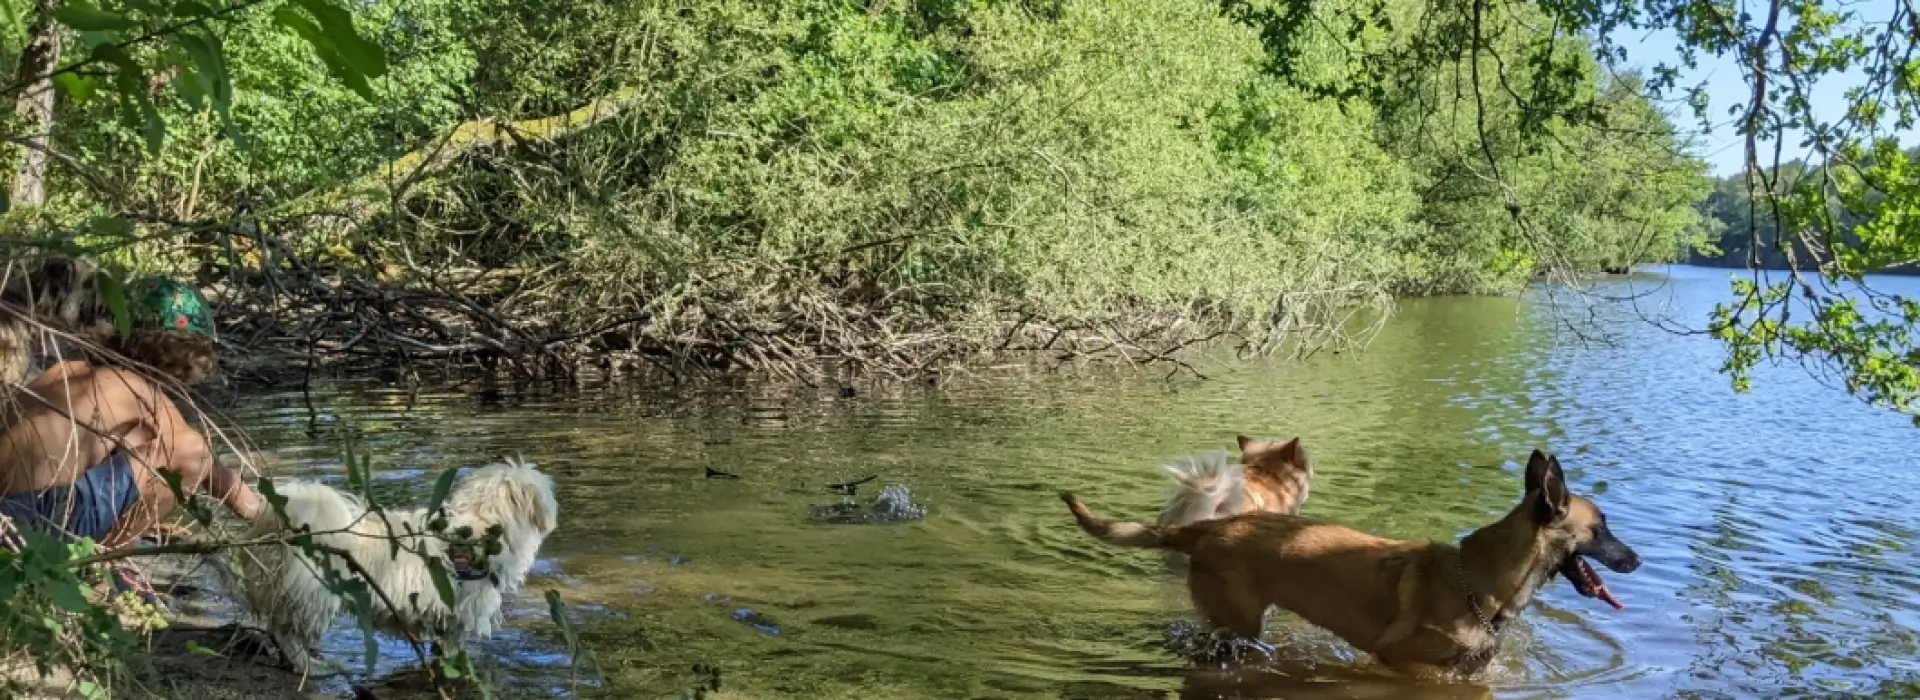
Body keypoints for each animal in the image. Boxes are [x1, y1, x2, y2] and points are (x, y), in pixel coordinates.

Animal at [1067, 450, 1635, 675]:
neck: (1478, 583)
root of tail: (1207, 526)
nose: (1637, 559)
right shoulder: (1399, 664)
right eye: (1602, 529)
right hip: (1238, 625)